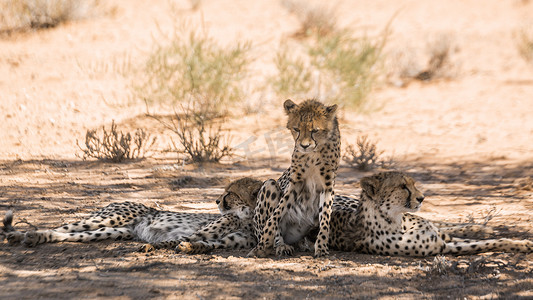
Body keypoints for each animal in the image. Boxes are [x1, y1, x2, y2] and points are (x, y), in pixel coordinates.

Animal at [1, 178, 262, 253]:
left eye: (230, 193)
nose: (217, 201)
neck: (247, 218)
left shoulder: (229, 241)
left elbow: (206, 244)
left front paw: (190, 249)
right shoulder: (200, 231)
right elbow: (179, 239)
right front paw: (153, 247)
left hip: (113, 231)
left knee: (68, 235)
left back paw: (33, 238)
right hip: (108, 217)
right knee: (63, 227)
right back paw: (23, 235)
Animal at [247, 99, 338, 258]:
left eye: (315, 130)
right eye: (297, 129)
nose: (304, 145)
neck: (314, 152)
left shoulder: (327, 186)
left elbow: (325, 217)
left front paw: (321, 247)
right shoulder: (295, 182)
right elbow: (277, 213)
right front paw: (266, 238)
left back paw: (305, 244)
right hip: (269, 185)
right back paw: (280, 245)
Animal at [328, 171, 532, 255]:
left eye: (413, 184)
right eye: (403, 187)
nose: (422, 198)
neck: (394, 221)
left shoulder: (439, 239)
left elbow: (492, 240)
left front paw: (522, 242)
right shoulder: (442, 246)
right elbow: (485, 244)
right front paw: (524, 245)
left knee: (440, 224)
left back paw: (480, 228)